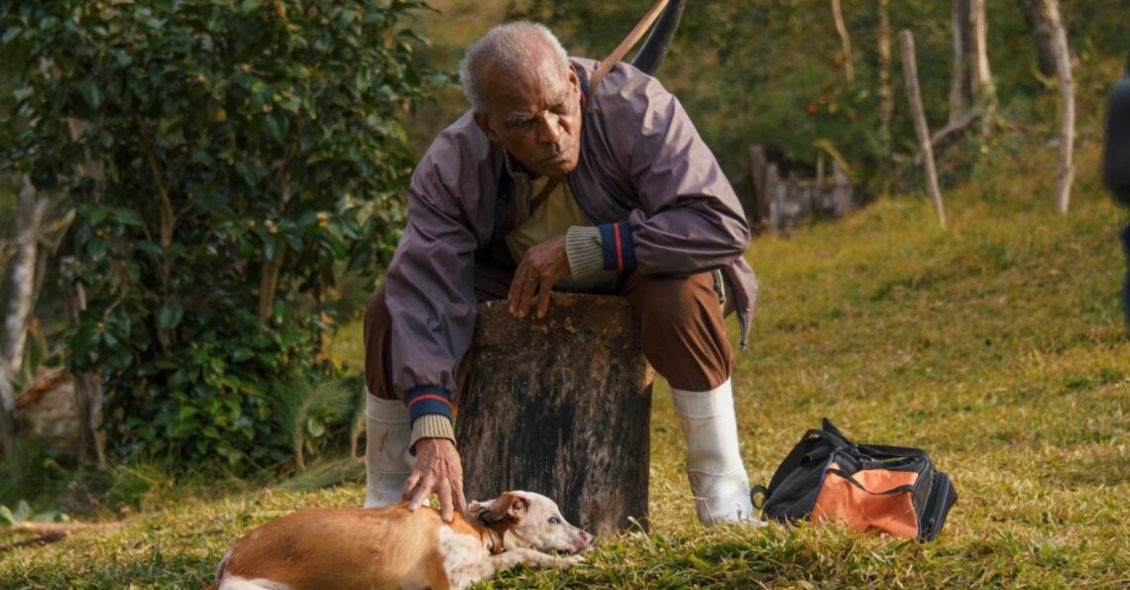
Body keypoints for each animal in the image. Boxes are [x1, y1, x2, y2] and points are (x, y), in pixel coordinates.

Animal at [209, 486, 596, 587]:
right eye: (554, 519)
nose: (591, 538)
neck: (479, 528)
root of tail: (228, 559)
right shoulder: (454, 581)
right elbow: (521, 554)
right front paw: (569, 561)